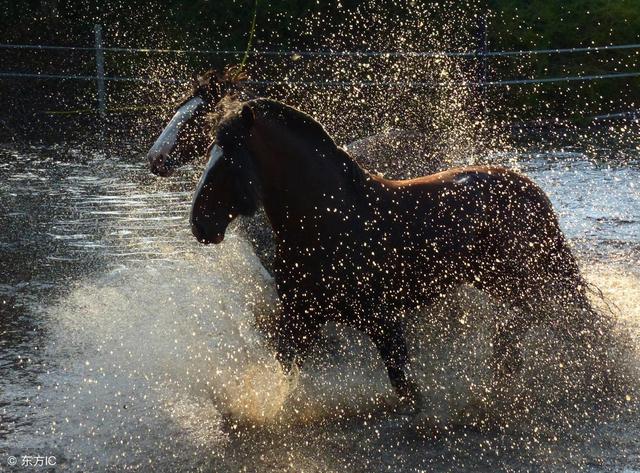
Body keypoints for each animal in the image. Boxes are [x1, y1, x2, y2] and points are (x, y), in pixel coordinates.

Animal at [190, 97, 604, 408]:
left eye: (228, 159)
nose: (199, 224)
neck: (330, 221)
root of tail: (529, 188)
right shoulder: (301, 315)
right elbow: (286, 369)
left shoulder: (379, 316)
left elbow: (403, 381)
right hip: (502, 279)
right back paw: (507, 362)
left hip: (523, 277)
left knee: (570, 317)